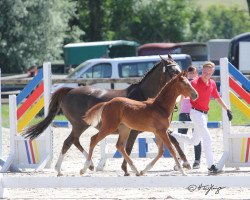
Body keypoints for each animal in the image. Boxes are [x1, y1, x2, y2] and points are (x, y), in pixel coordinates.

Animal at [23, 54, 182, 175]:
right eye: (173, 71)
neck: (145, 97)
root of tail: (70, 90)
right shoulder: (134, 131)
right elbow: (128, 148)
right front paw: (127, 169)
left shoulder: (158, 128)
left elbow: (173, 140)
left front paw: (183, 163)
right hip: (80, 124)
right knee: (70, 141)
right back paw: (65, 169)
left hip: (79, 125)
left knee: (74, 141)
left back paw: (87, 165)